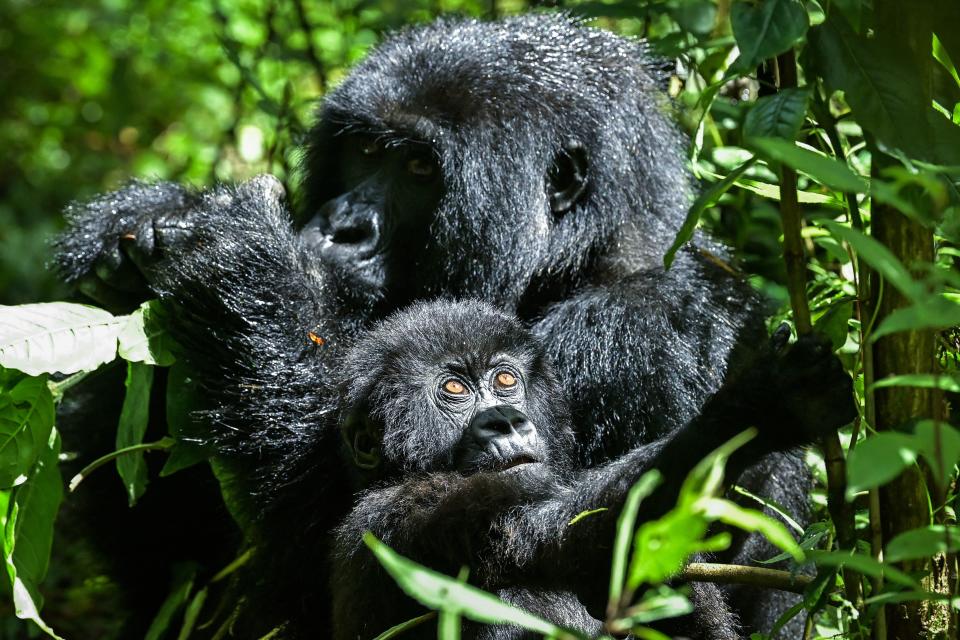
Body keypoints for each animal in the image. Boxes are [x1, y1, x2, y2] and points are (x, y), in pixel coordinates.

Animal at [326, 300, 852, 640]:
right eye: (453, 389)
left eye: (505, 379)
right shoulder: (409, 514)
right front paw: (762, 406)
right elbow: (556, 535)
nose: (506, 420)